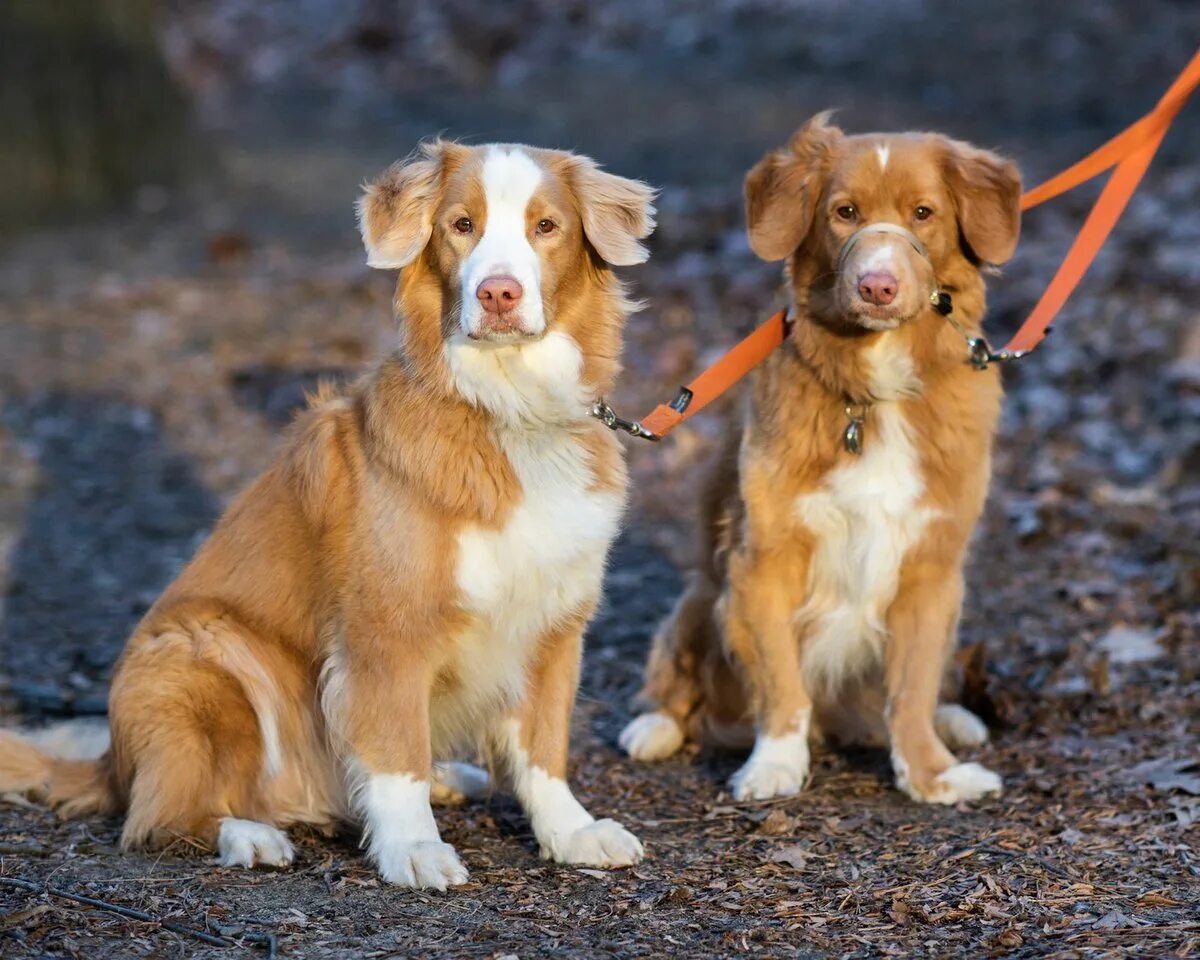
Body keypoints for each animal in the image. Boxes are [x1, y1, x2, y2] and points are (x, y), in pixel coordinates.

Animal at [0, 138, 657, 888]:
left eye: (546, 227)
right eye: (461, 225)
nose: (498, 293)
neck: (508, 411)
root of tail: (111, 759)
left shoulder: (553, 624)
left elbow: (544, 748)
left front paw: (571, 832)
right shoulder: (386, 630)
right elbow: (394, 751)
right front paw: (413, 847)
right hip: (204, 653)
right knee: (161, 815)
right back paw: (249, 836)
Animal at [619, 110, 1022, 801]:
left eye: (923, 213)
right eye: (844, 212)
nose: (878, 285)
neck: (874, 394)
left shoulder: (932, 569)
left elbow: (911, 689)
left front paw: (931, 773)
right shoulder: (761, 563)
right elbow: (782, 680)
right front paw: (777, 764)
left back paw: (955, 720)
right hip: (700, 599)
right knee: (677, 678)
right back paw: (655, 727)